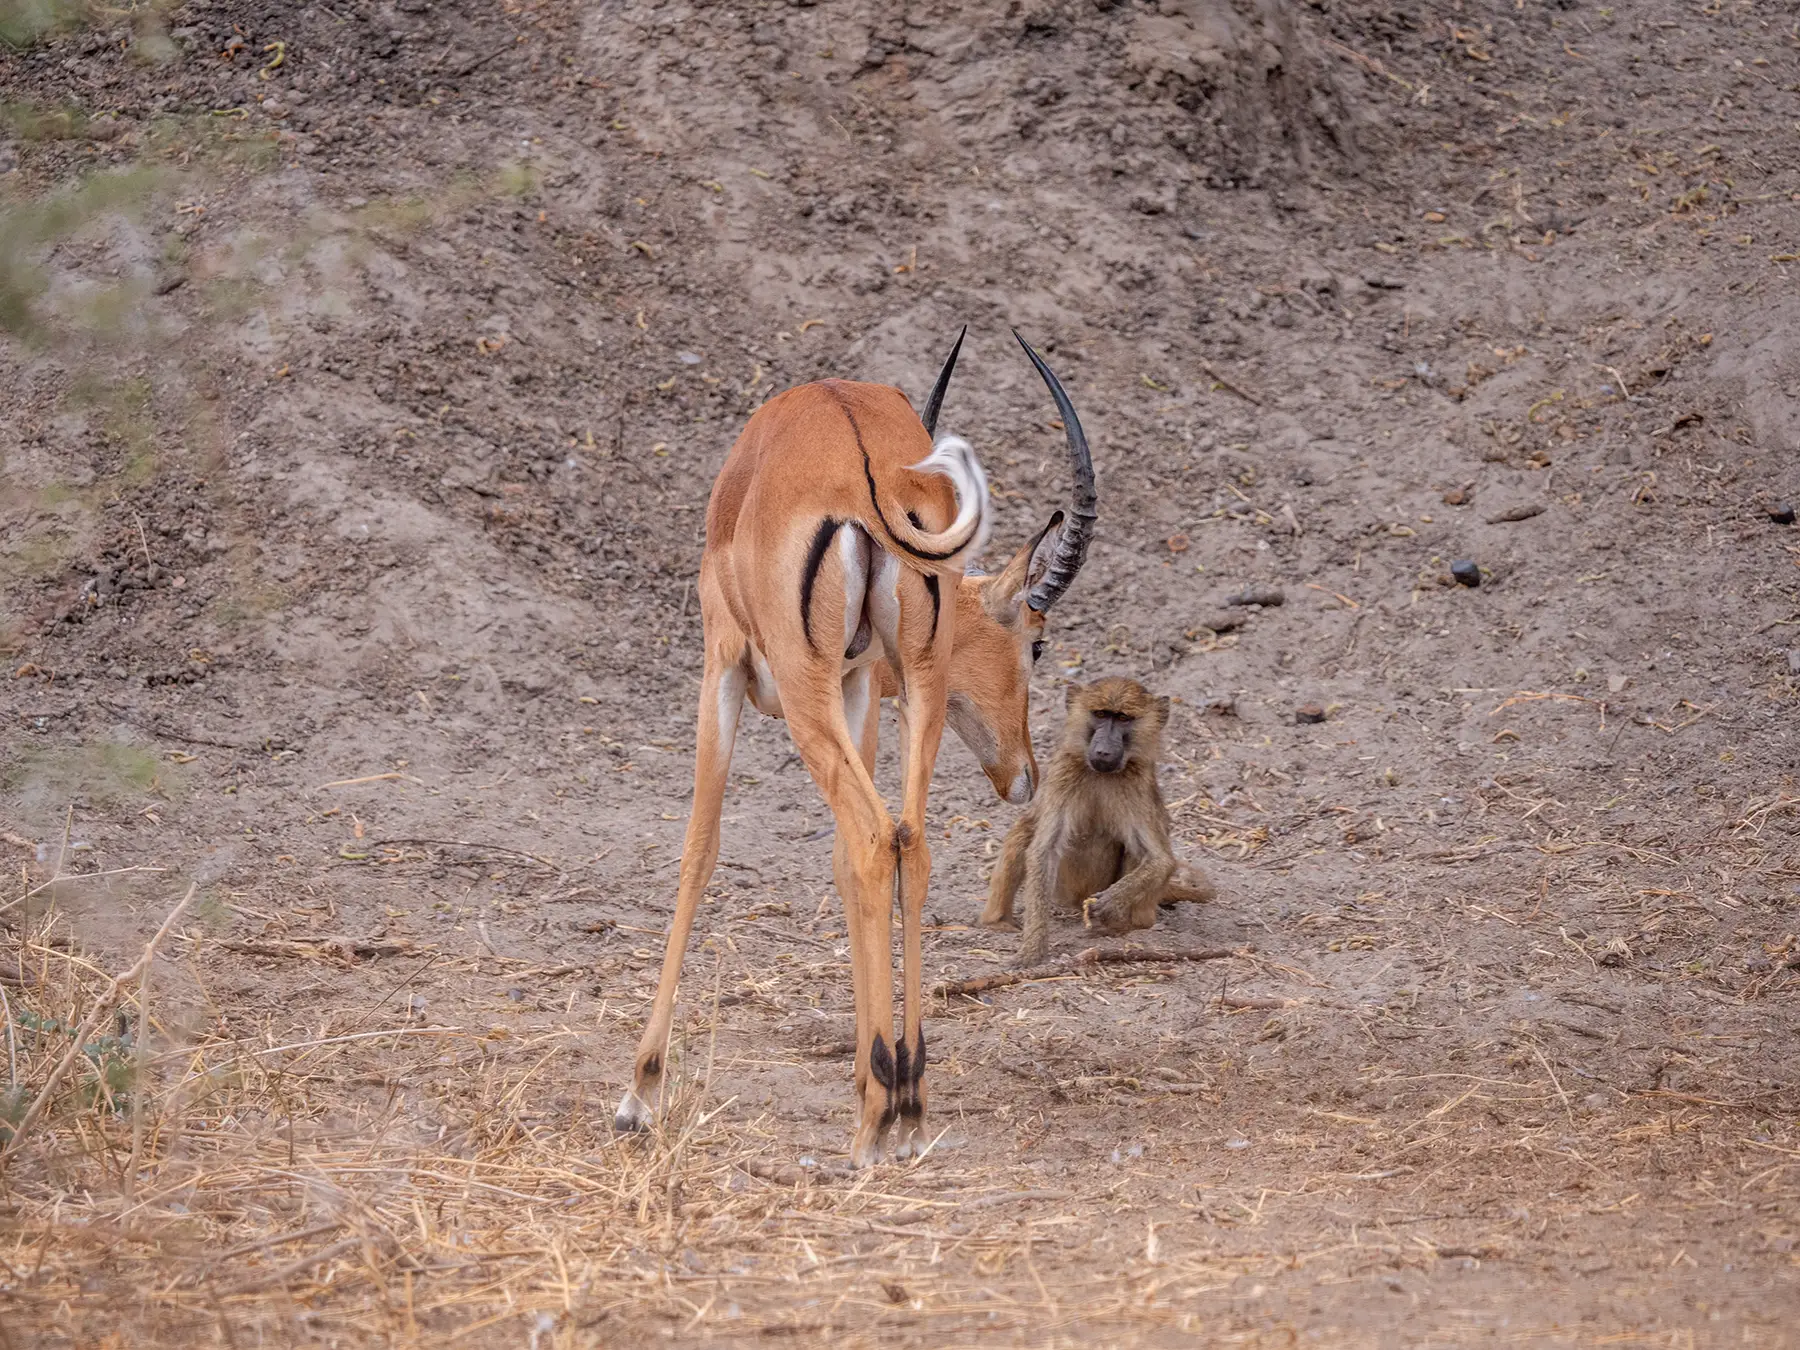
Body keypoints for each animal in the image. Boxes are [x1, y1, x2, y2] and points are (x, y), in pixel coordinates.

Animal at [614, 330, 1096, 1166]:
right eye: (1036, 644)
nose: (1026, 775)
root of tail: (871, 476)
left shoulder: (723, 662)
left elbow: (699, 851)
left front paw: (640, 1093)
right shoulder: (864, 682)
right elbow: (846, 865)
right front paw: (879, 1078)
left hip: (804, 693)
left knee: (876, 839)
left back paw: (878, 1118)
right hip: (913, 687)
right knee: (907, 842)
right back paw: (909, 1107)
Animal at [980, 676, 1215, 966]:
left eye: (1123, 718)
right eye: (1101, 715)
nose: (1103, 750)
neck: (1101, 774)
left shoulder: (1136, 785)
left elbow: (1160, 859)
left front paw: (1108, 902)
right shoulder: (1063, 774)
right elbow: (1043, 850)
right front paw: (1032, 948)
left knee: (1136, 851)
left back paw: (1123, 925)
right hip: (1063, 890)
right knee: (1024, 829)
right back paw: (997, 922)